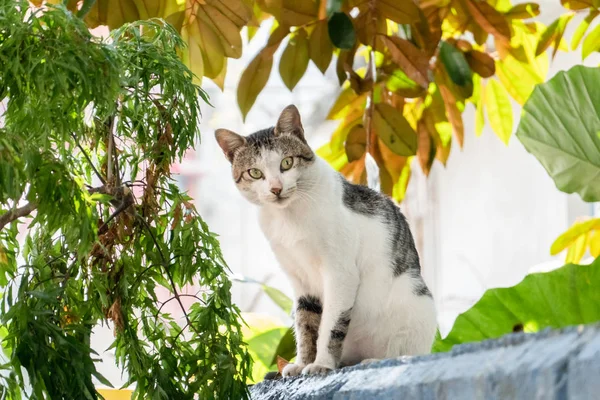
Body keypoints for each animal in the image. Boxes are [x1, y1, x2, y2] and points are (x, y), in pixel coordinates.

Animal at [216, 104, 436, 376]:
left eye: (287, 163)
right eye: (255, 173)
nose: (276, 189)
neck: (289, 217)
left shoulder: (340, 273)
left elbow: (330, 326)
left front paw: (321, 364)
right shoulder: (301, 281)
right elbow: (306, 325)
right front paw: (302, 363)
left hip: (417, 303)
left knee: (405, 352)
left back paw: (375, 361)